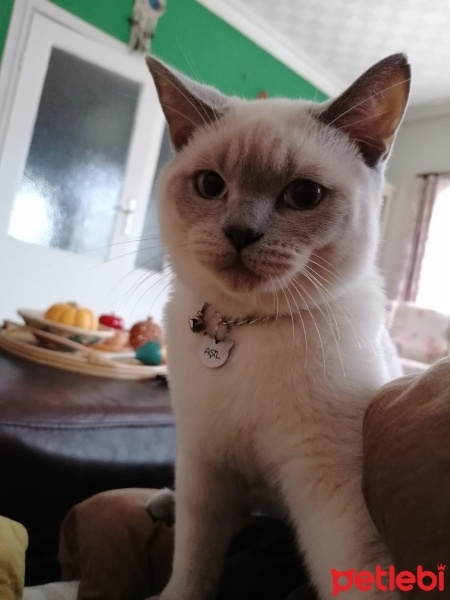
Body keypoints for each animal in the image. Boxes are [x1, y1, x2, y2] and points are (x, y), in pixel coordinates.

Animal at [144, 52, 408, 600]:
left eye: (303, 195)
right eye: (210, 186)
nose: (240, 233)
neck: (245, 326)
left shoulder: (332, 490)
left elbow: (357, 572)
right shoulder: (206, 466)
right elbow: (192, 564)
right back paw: (161, 502)